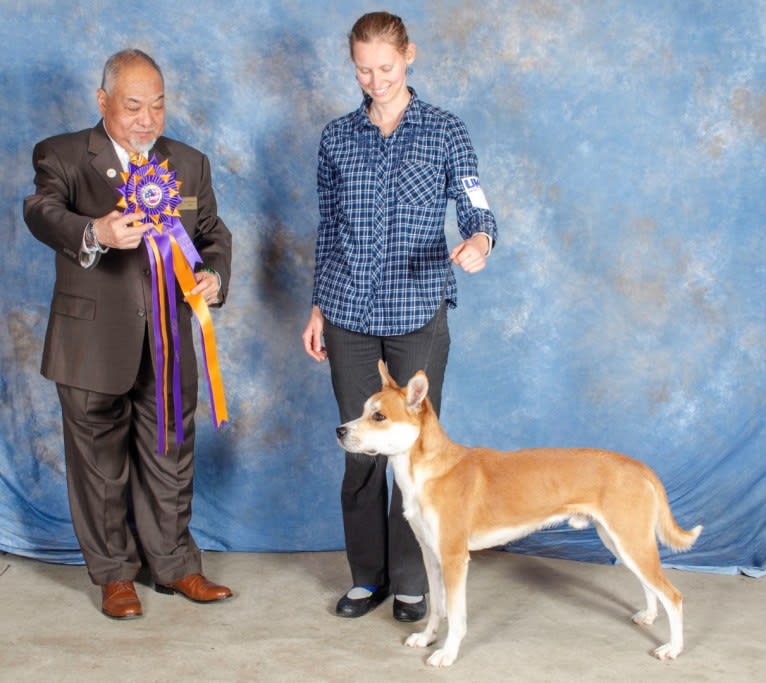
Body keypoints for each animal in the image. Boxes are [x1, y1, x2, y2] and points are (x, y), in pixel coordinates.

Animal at [336, 364, 704, 668]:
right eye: (363, 411)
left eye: (379, 417)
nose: (339, 430)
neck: (427, 470)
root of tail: (637, 465)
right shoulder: (430, 554)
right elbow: (438, 607)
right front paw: (427, 638)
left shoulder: (454, 558)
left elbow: (455, 614)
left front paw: (447, 653)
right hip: (620, 541)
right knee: (649, 585)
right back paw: (648, 616)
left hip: (630, 541)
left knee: (673, 595)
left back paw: (673, 648)